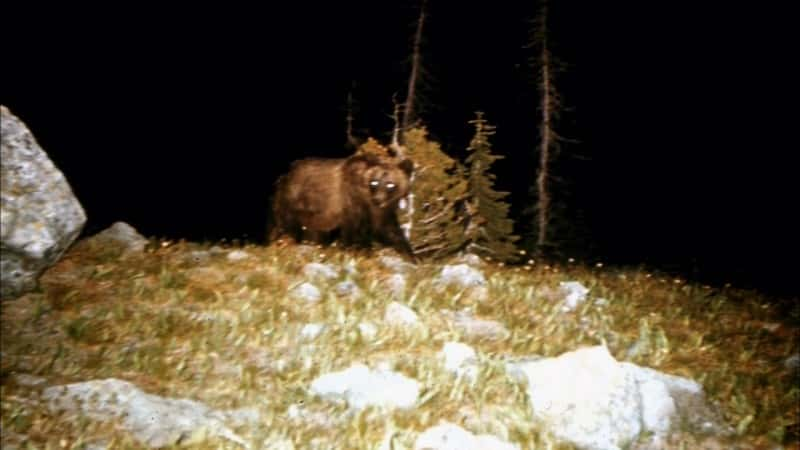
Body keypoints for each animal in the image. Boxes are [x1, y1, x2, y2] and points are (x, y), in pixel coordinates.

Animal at [270, 153, 416, 256]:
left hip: (314, 215)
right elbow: (355, 233)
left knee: (314, 232)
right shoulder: (352, 203)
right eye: (374, 182)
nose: (378, 199)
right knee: (287, 227)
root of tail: (284, 175)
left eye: (390, 184)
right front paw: (361, 251)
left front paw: (410, 255)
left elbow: (389, 231)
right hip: (294, 201)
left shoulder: (382, 212)